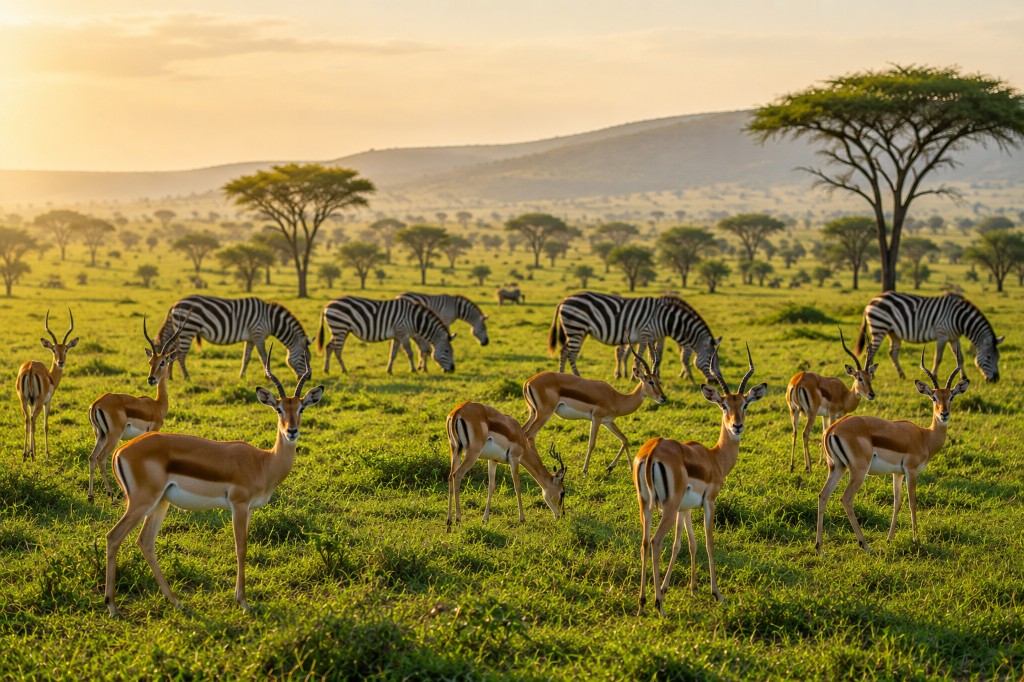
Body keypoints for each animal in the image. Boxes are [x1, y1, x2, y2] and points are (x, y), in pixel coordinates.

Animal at [157, 295, 309, 380]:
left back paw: (169, 376)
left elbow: (246, 358)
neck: (270, 319)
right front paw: (267, 376)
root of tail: (174, 304)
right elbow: (264, 357)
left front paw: (242, 376)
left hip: (179, 330)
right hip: (188, 329)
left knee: (171, 350)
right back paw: (186, 377)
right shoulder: (258, 334)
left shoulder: (251, 338)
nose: (308, 378)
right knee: (181, 355)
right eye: (303, 357)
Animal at [317, 296, 456, 373]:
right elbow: (409, 353)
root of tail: (327, 305)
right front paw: (413, 370)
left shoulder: (397, 336)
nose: (452, 370)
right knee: (337, 350)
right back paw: (344, 370)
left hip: (340, 330)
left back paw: (326, 369)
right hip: (340, 328)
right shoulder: (403, 332)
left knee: (329, 347)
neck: (415, 319)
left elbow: (393, 354)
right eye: (447, 351)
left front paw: (389, 370)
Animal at [549, 292, 720, 378]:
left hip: (578, 330)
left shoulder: (654, 337)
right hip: (576, 328)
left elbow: (655, 358)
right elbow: (639, 357)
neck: (665, 319)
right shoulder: (645, 334)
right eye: (710, 359)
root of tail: (564, 300)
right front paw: (634, 377)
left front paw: (654, 375)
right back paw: (576, 377)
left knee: (565, 351)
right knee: (569, 353)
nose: (715, 381)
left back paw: (562, 375)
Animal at [855, 291, 1003, 382]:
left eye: (998, 358)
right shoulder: (942, 335)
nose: (996, 380)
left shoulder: (954, 338)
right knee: (871, 350)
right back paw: (871, 375)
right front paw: (935, 375)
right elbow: (938, 357)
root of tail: (870, 301)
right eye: (989, 357)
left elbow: (960, 358)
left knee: (892, 352)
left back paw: (902, 375)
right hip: (879, 327)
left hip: (893, 332)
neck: (959, 319)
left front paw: (964, 377)